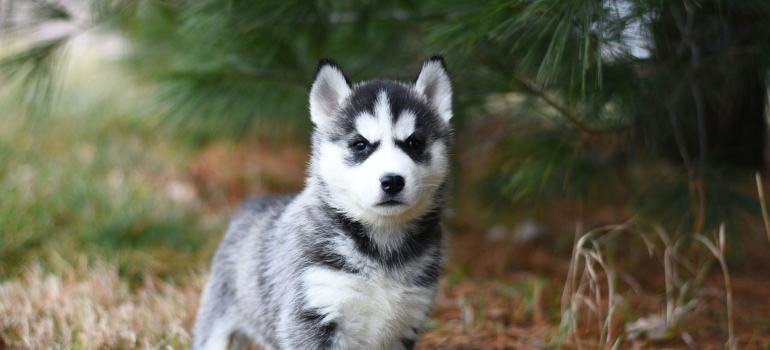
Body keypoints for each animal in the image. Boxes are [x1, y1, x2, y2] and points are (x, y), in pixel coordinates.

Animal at [192, 56, 452, 350]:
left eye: (414, 143)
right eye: (360, 145)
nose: (392, 181)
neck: (383, 248)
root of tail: (255, 202)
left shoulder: (407, 320)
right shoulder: (311, 315)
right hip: (218, 325)